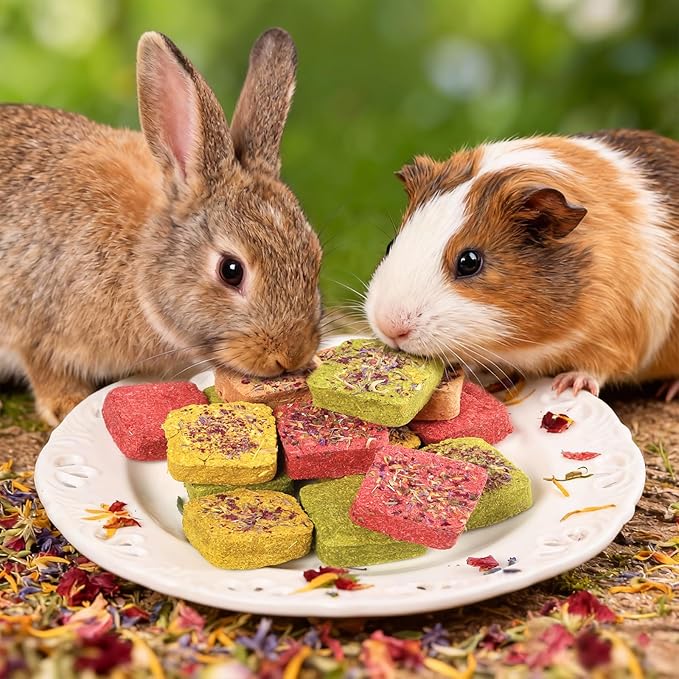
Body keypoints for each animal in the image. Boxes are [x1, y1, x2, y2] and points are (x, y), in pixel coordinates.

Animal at [0, 28, 323, 426]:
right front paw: (66, 404)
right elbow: (42, 365)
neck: (137, 260)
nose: (291, 355)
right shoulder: (32, 315)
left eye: (315, 257)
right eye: (231, 271)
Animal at [365, 130, 679, 398]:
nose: (390, 327)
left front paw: (569, 386)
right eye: (390, 244)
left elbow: (598, 367)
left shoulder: (619, 333)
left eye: (469, 261)